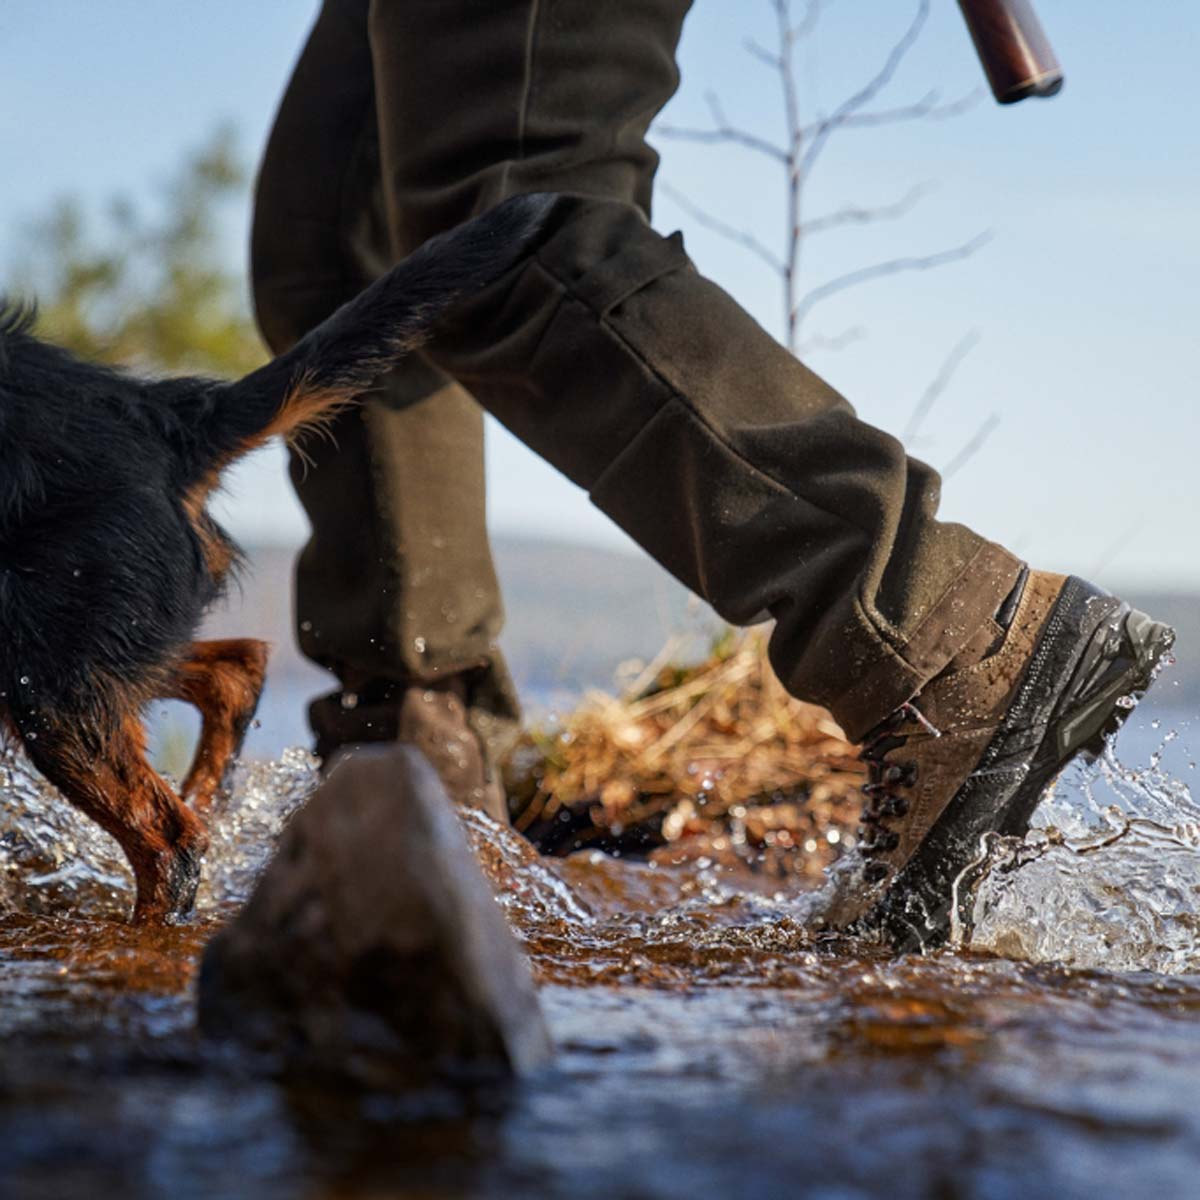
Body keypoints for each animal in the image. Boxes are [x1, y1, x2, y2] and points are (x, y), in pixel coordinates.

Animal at [0, 192, 552, 921]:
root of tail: (167, 422)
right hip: (85, 647)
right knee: (237, 669)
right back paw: (207, 803)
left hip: (53, 675)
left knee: (171, 843)